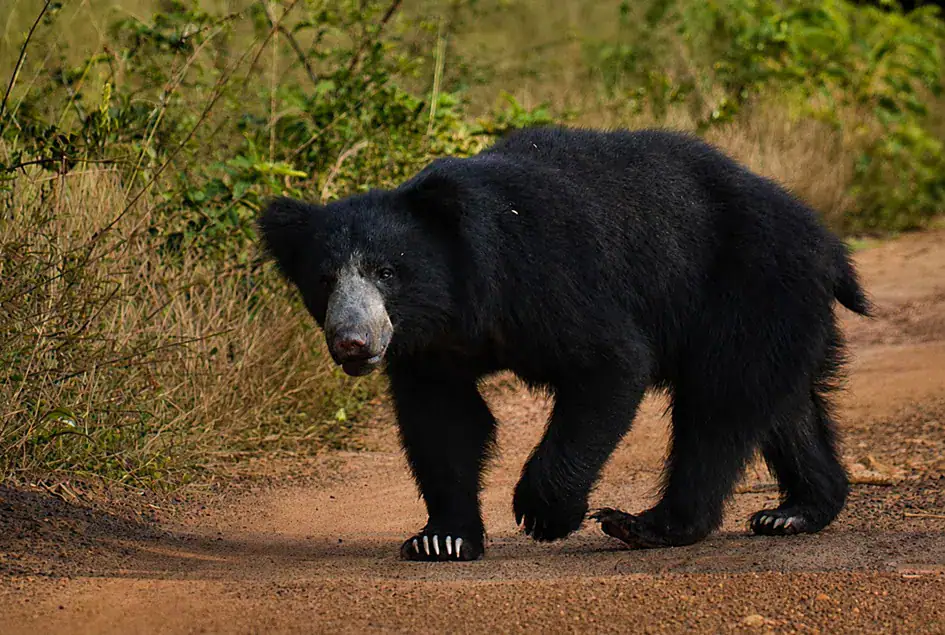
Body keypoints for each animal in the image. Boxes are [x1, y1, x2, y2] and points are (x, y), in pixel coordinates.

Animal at [257, 126, 871, 562]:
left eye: (387, 272)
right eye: (324, 280)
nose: (353, 343)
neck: (462, 300)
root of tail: (825, 240)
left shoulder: (545, 275)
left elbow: (610, 364)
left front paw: (541, 513)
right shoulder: (432, 348)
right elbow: (443, 419)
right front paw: (440, 539)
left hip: (744, 286)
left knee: (719, 408)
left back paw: (649, 524)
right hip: (777, 312)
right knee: (783, 406)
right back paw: (797, 510)